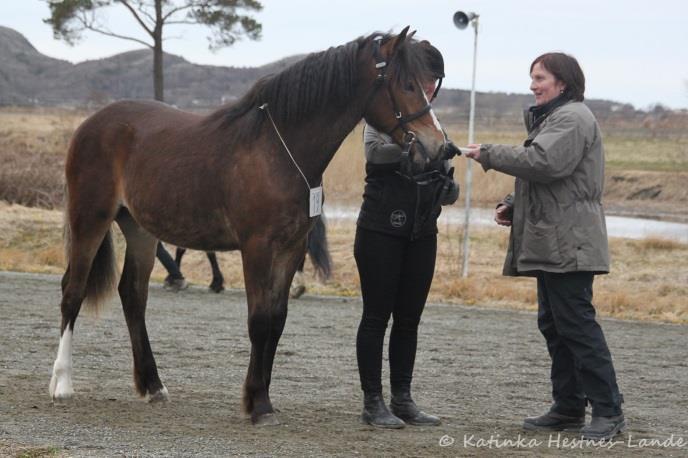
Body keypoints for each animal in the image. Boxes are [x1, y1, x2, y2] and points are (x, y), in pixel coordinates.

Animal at [48, 26, 448, 424]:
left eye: (425, 85)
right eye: (406, 84)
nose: (440, 146)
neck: (277, 150)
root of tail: (92, 123)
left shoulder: (291, 249)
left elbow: (276, 320)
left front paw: (263, 397)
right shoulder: (257, 247)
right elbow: (258, 321)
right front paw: (257, 404)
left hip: (141, 230)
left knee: (133, 295)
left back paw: (153, 386)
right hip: (89, 219)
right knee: (73, 291)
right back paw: (62, 383)